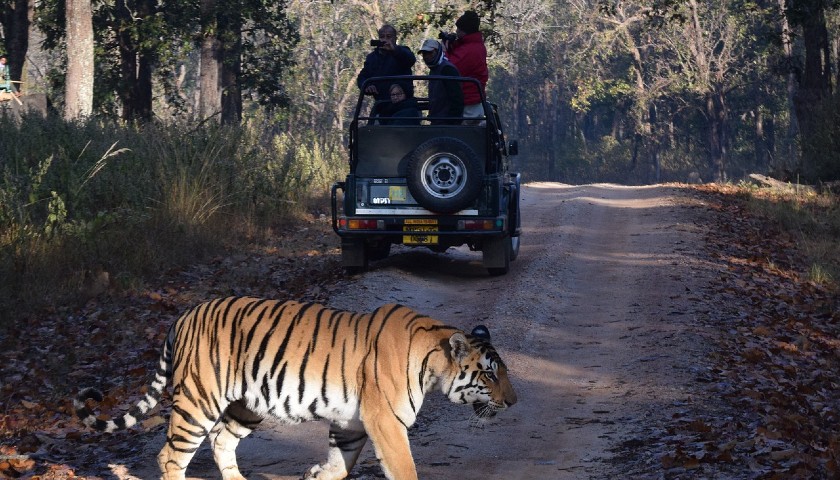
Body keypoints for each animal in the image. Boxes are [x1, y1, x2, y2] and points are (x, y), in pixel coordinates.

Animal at [75, 296, 516, 480]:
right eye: (490, 374)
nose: (513, 402)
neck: (433, 361)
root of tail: (182, 315)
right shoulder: (386, 422)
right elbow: (404, 469)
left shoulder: (352, 422)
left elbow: (340, 464)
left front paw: (316, 475)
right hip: (199, 401)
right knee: (170, 456)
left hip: (245, 405)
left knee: (221, 441)